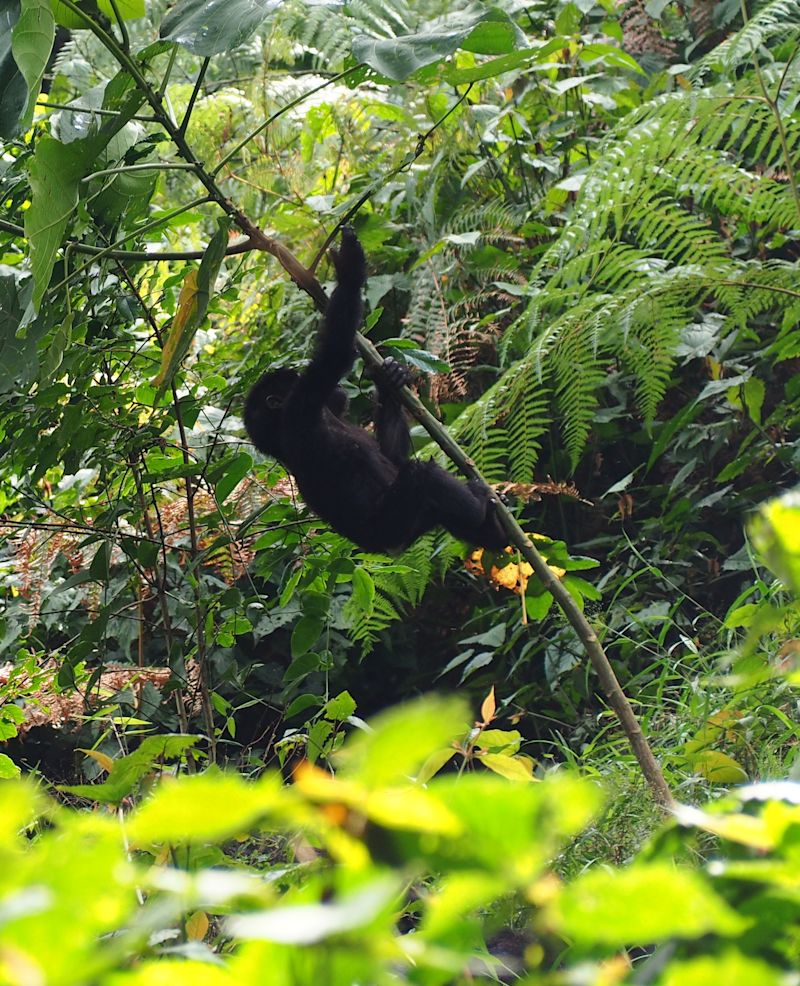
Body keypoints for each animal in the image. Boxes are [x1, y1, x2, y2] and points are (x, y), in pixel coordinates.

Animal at [244, 230, 506, 552]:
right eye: (294, 378)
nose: (340, 391)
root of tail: (384, 548)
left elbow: (392, 456)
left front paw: (391, 379)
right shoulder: (302, 403)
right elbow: (335, 352)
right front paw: (349, 268)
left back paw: (494, 531)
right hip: (396, 523)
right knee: (425, 476)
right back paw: (483, 510)